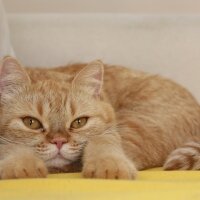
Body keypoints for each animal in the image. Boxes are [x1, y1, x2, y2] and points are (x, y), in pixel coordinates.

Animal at [0, 56, 200, 180]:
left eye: (78, 122)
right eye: (31, 123)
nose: (59, 142)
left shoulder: (108, 130)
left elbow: (104, 143)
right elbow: (11, 146)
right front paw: (20, 166)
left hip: (137, 124)